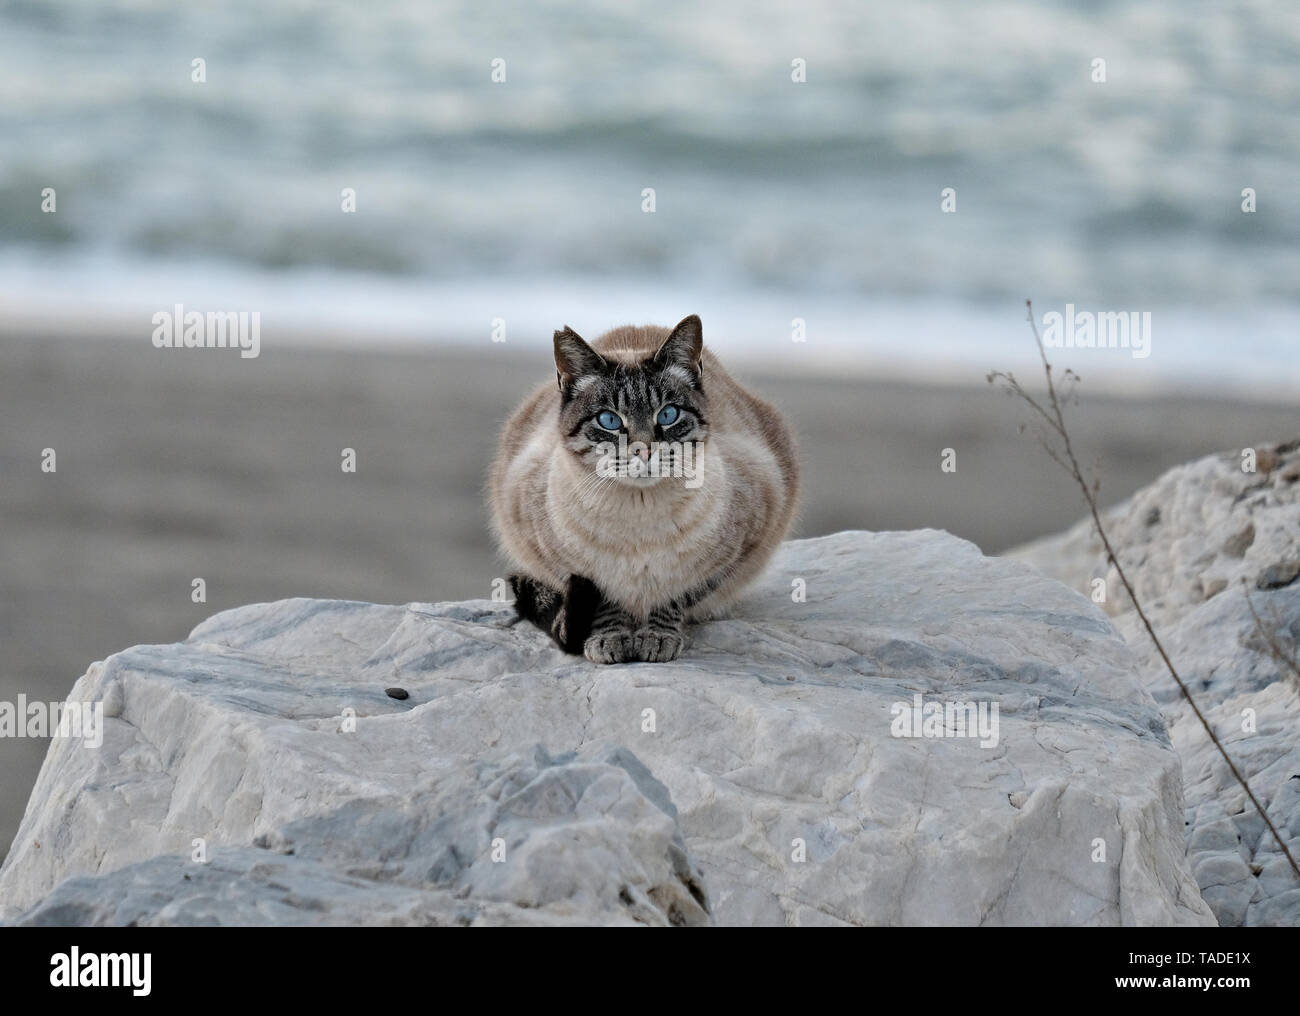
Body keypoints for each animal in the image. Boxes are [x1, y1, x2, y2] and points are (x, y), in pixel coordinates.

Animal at [488, 318, 795, 670]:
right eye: (609, 420)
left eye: (667, 415)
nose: (644, 451)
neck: (639, 518)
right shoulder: (557, 561)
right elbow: (605, 606)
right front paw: (611, 641)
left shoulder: (737, 552)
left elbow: (674, 597)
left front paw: (656, 639)